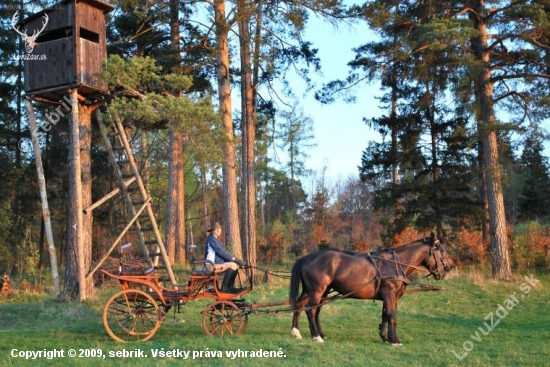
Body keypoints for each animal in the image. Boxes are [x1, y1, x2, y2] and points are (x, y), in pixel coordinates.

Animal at [292, 234, 454, 346]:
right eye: (441, 250)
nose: (450, 266)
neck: (395, 264)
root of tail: (309, 257)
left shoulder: (392, 297)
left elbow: (386, 316)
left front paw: (385, 336)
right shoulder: (389, 294)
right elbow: (391, 316)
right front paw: (394, 340)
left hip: (313, 291)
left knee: (301, 306)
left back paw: (297, 332)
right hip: (317, 291)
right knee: (311, 310)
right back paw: (316, 336)